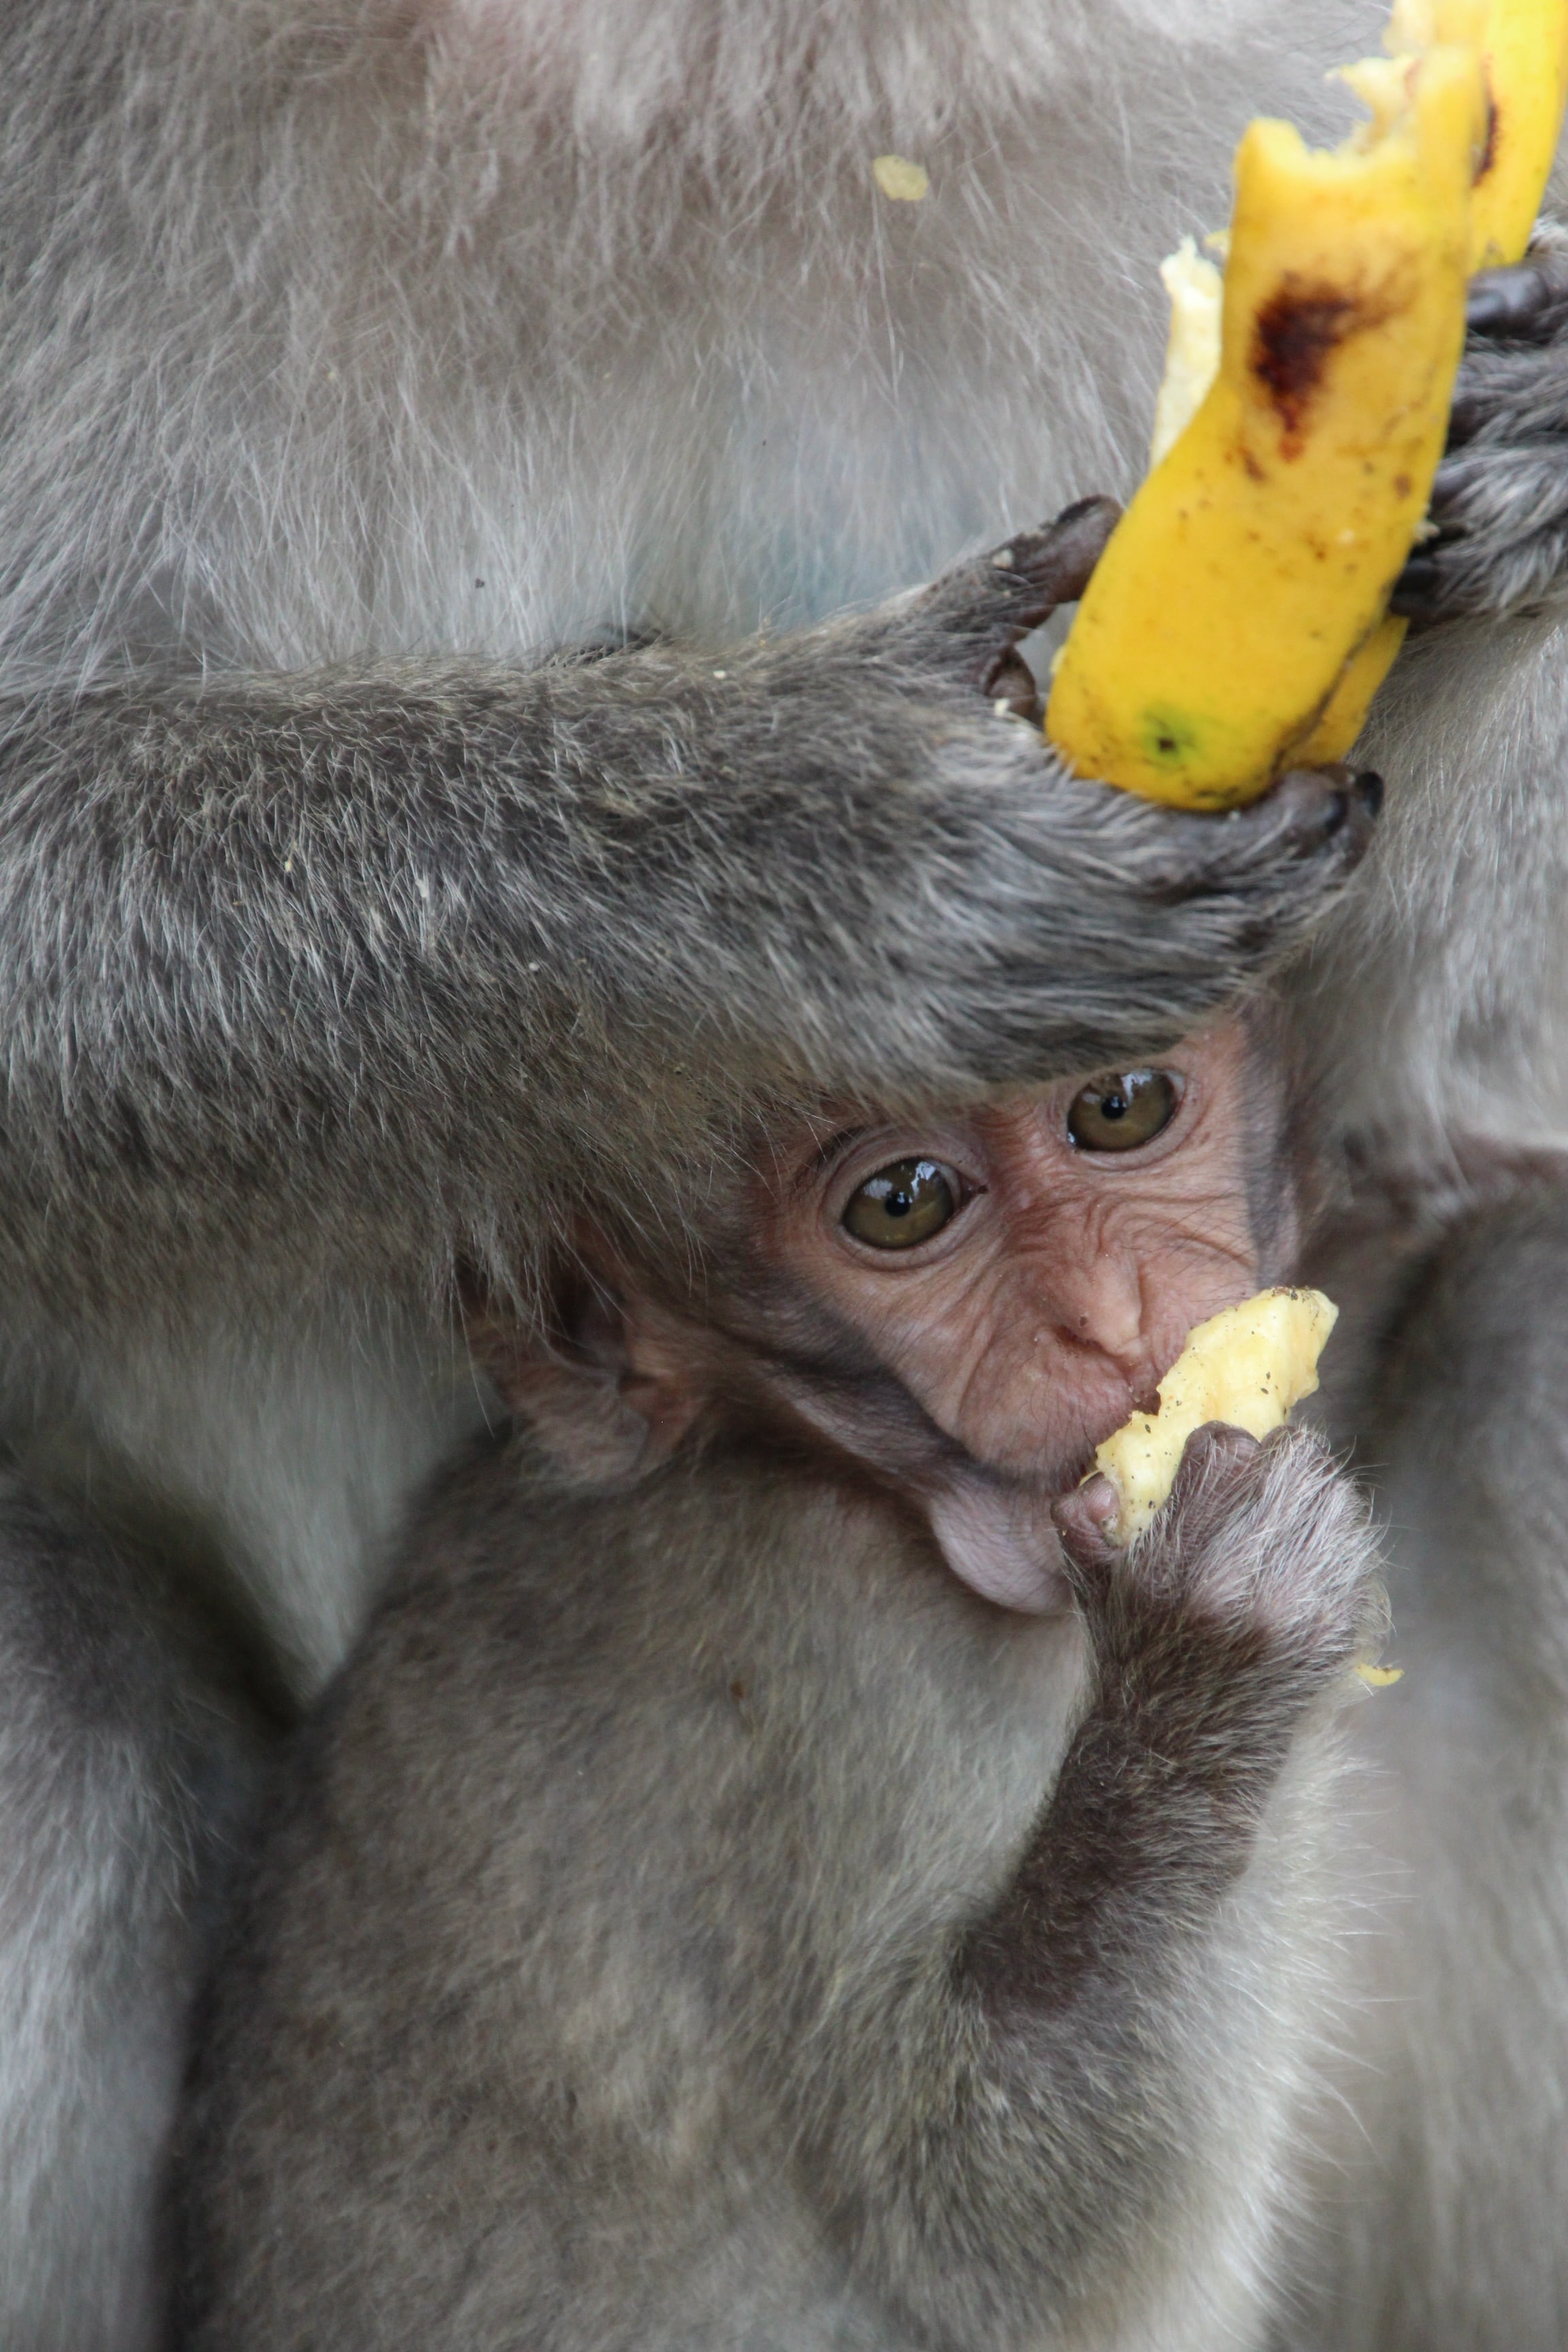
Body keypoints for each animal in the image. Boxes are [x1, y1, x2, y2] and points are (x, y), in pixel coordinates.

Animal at [170, 1005, 1389, 2352]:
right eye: (902, 1204)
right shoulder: (829, 1647)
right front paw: (1214, 1663)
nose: (1109, 1319)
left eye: (1118, 1108)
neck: (817, 1474)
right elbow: (993, 2231)